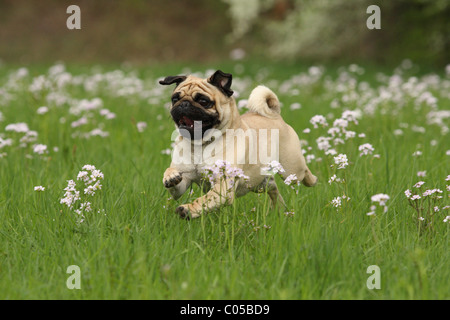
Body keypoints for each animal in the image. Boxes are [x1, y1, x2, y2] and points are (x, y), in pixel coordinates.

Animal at [159, 70, 316, 219]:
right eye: (175, 99)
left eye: (203, 101)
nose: (184, 104)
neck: (200, 144)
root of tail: (275, 115)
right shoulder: (183, 182)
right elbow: (173, 181)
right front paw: (170, 176)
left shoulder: (222, 187)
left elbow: (204, 200)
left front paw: (188, 210)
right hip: (258, 183)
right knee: (273, 189)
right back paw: (279, 209)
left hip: (291, 169)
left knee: (304, 174)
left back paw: (313, 181)